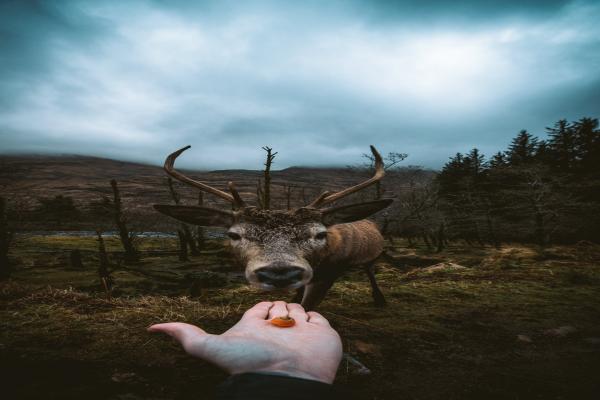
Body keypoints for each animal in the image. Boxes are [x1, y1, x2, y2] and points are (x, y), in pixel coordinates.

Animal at [152, 145, 392, 310]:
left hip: (371, 255)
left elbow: (307, 308)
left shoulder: (329, 274)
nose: (279, 273)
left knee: (370, 270)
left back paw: (379, 298)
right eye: (234, 235)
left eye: (320, 233)